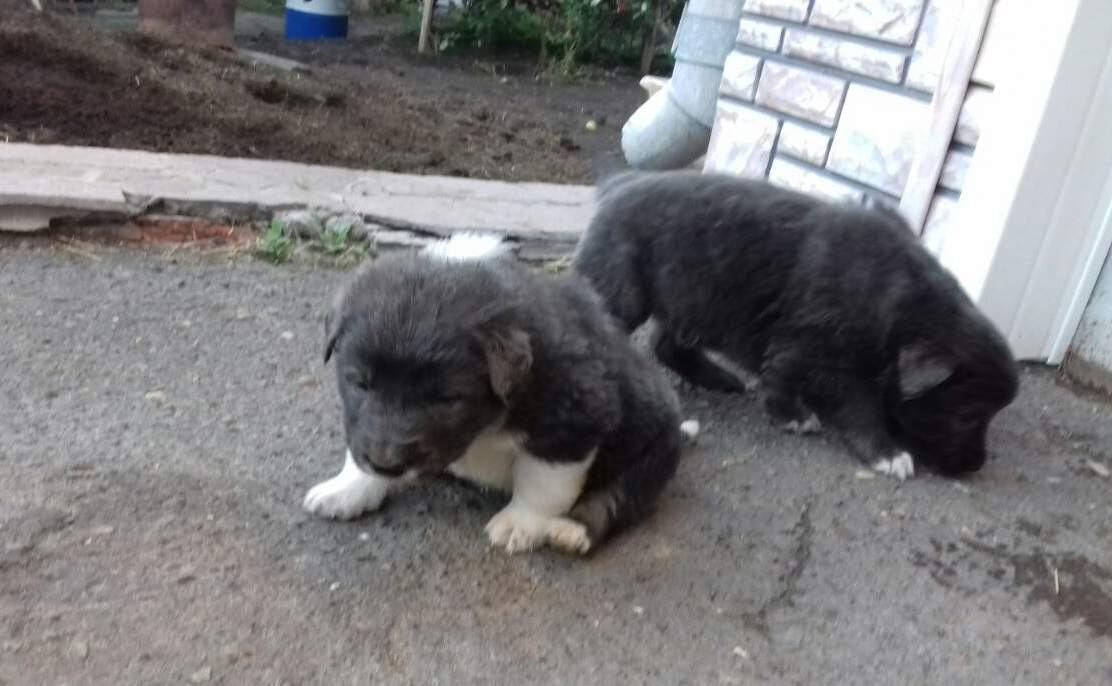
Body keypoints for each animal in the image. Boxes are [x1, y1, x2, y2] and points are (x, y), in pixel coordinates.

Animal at [303, 234, 697, 555]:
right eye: (360, 383)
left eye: (445, 399)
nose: (387, 463)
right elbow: (358, 444)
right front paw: (347, 487)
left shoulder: (575, 418)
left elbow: (541, 483)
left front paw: (519, 524)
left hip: (650, 456)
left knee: (615, 498)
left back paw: (572, 531)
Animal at [572, 171, 1019, 480]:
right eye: (968, 417)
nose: (977, 464)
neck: (899, 299)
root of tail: (618, 182)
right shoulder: (821, 352)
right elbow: (857, 406)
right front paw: (884, 452)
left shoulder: (801, 347)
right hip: (623, 290)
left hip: (690, 294)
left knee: (668, 344)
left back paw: (720, 378)